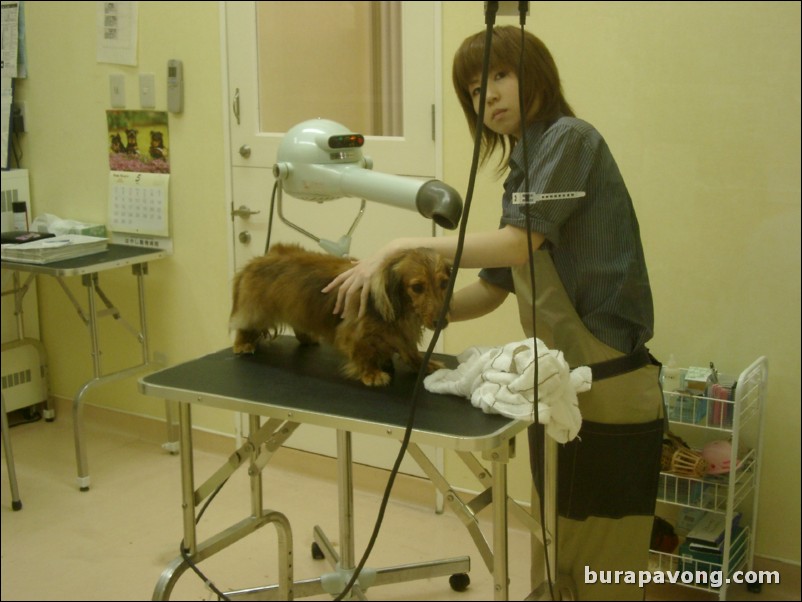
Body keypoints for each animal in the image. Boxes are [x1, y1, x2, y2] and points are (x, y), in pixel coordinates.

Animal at [230, 240, 450, 384]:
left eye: (444, 283)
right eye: (417, 287)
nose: (442, 323)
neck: (405, 311)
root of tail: (262, 257)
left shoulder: (402, 334)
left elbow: (410, 350)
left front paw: (423, 364)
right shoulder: (355, 334)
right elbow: (365, 353)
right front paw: (372, 373)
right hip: (257, 310)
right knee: (244, 326)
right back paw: (242, 344)